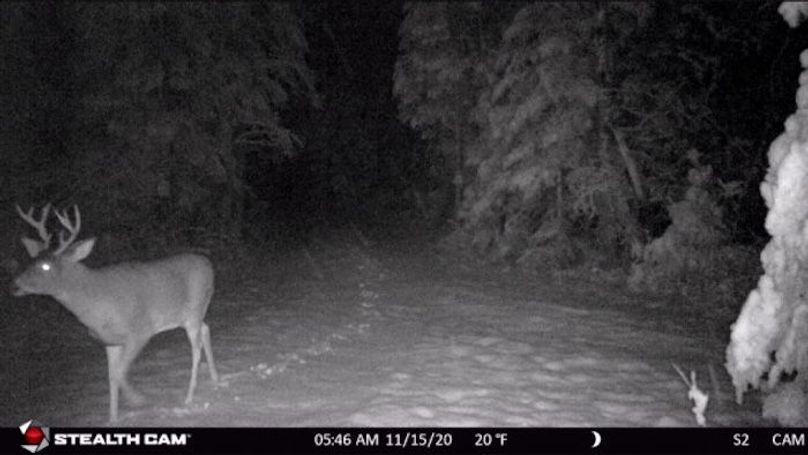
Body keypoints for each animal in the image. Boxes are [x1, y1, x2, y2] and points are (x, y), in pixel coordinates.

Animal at [11, 204, 219, 422]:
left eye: (46, 266)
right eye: (31, 261)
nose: (14, 285)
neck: (96, 306)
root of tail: (208, 263)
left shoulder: (139, 331)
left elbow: (120, 373)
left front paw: (138, 400)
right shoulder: (109, 342)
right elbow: (111, 377)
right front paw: (112, 418)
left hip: (194, 310)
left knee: (196, 349)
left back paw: (189, 397)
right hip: (191, 315)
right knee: (206, 328)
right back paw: (215, 379)